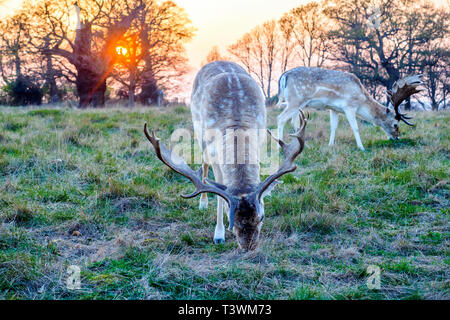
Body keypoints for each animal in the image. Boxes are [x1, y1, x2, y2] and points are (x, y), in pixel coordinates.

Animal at [144, 60, 306, 250]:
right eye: (232, 220)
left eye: (261, 217)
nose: (249, 247)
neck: (237, 123)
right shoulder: (215, 153)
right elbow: (220, 191)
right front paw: (218, 235)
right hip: (199, 130)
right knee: (204, 164)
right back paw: (203, 203)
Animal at [276, 66, 424, 151]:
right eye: (395, 124)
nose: (396, 138)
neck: (361, 99)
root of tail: (284, 76)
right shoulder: (349, 106)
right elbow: (355, 127)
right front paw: (361, 147)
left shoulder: (333, 108)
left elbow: (333, 127)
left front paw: (330, 145)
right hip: (296, 100)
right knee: (281, 119)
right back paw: (280, 146)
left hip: (296, 103)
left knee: (294, 122)